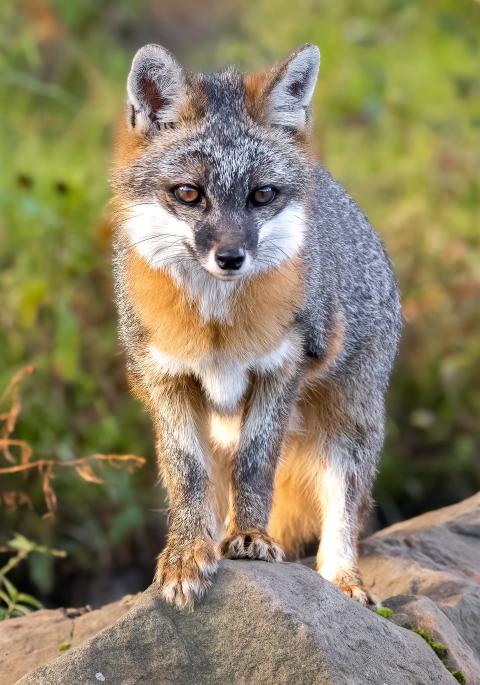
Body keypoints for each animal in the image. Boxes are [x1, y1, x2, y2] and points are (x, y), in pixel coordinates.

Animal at [110, 43, 402, 609]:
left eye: (262, 195)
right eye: (189, 193)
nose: (231, 257)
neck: (217, 330)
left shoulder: (280, 370)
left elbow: (256, 463)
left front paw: (250, 536)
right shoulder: (165, 380)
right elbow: (186, 475)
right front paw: (185, 556)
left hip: (347, 427)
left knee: (343, 514)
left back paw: (345, 581)